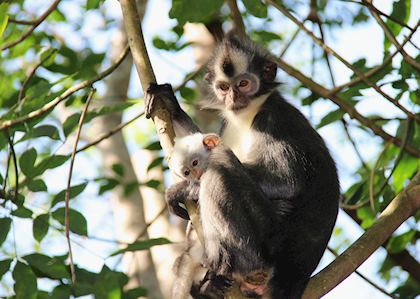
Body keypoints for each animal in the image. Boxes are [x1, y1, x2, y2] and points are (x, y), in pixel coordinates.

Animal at [167, 135, 276, 298]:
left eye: (195, 163)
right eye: (187, 172)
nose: (196, 175)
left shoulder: (218, 158)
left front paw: (178, 191)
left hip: (249, 254)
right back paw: (210, 286)